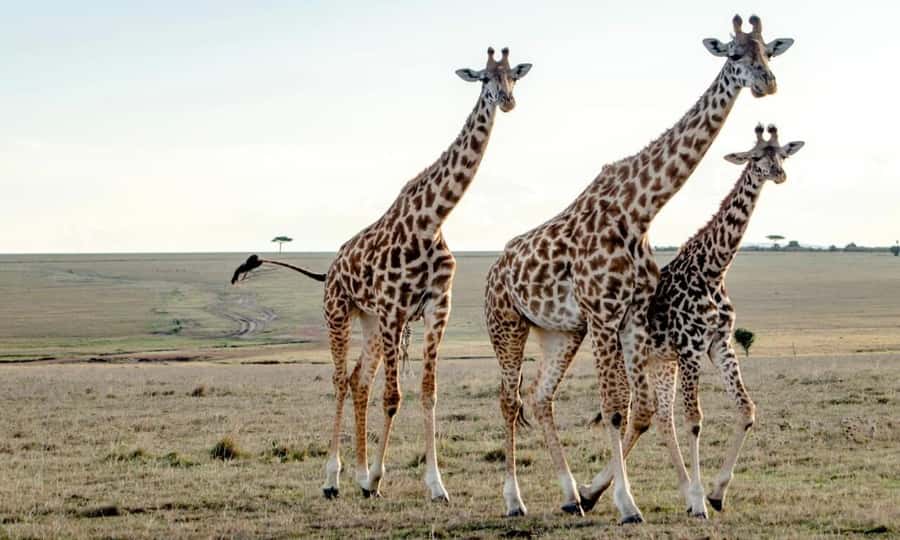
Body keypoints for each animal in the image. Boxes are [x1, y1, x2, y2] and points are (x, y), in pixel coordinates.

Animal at [233, 47, 532, 502]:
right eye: (483, 77)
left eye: (513, 75)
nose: (508, 100)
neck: (432, 221)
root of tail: (329, 269)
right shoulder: (394, 310)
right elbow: (393, 396)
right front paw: (377, 478)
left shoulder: (435, 309)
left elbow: (428, 394)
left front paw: (435, 485)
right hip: (339, 313)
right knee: (340, 380)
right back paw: (333, 478)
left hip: (370, 322)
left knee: (359, 380)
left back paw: (355, 474)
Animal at [582, 124, 804, 518]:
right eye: (755, 156)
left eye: (782, 153)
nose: (778, 174)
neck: (713, 270)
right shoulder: (691, 348)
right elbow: (695, 420)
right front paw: (702, 499)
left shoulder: (721, 343)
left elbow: (745, 409)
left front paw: (715, 493)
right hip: (628, 356)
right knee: (631, 412)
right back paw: (598, 493)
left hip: (660, 362)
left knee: (658, 418)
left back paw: (605, 492)